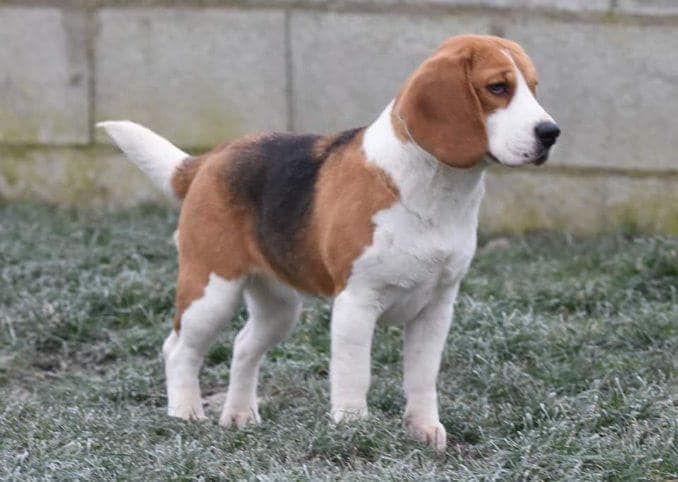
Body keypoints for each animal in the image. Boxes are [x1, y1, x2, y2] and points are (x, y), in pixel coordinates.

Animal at [98, 34, 560, 452]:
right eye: (497, 88)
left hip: (279, 309)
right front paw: (353, 430)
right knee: (178, 349)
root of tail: (208, 160)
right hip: (211, 291)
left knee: (243, 346)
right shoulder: (357, 302)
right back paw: (185, 413)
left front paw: (425, 430)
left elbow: (422, 376)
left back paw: (240, 414)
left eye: (534, 87)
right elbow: (355, 373)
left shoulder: (437, 307)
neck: (436, 188)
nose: (550, 133)